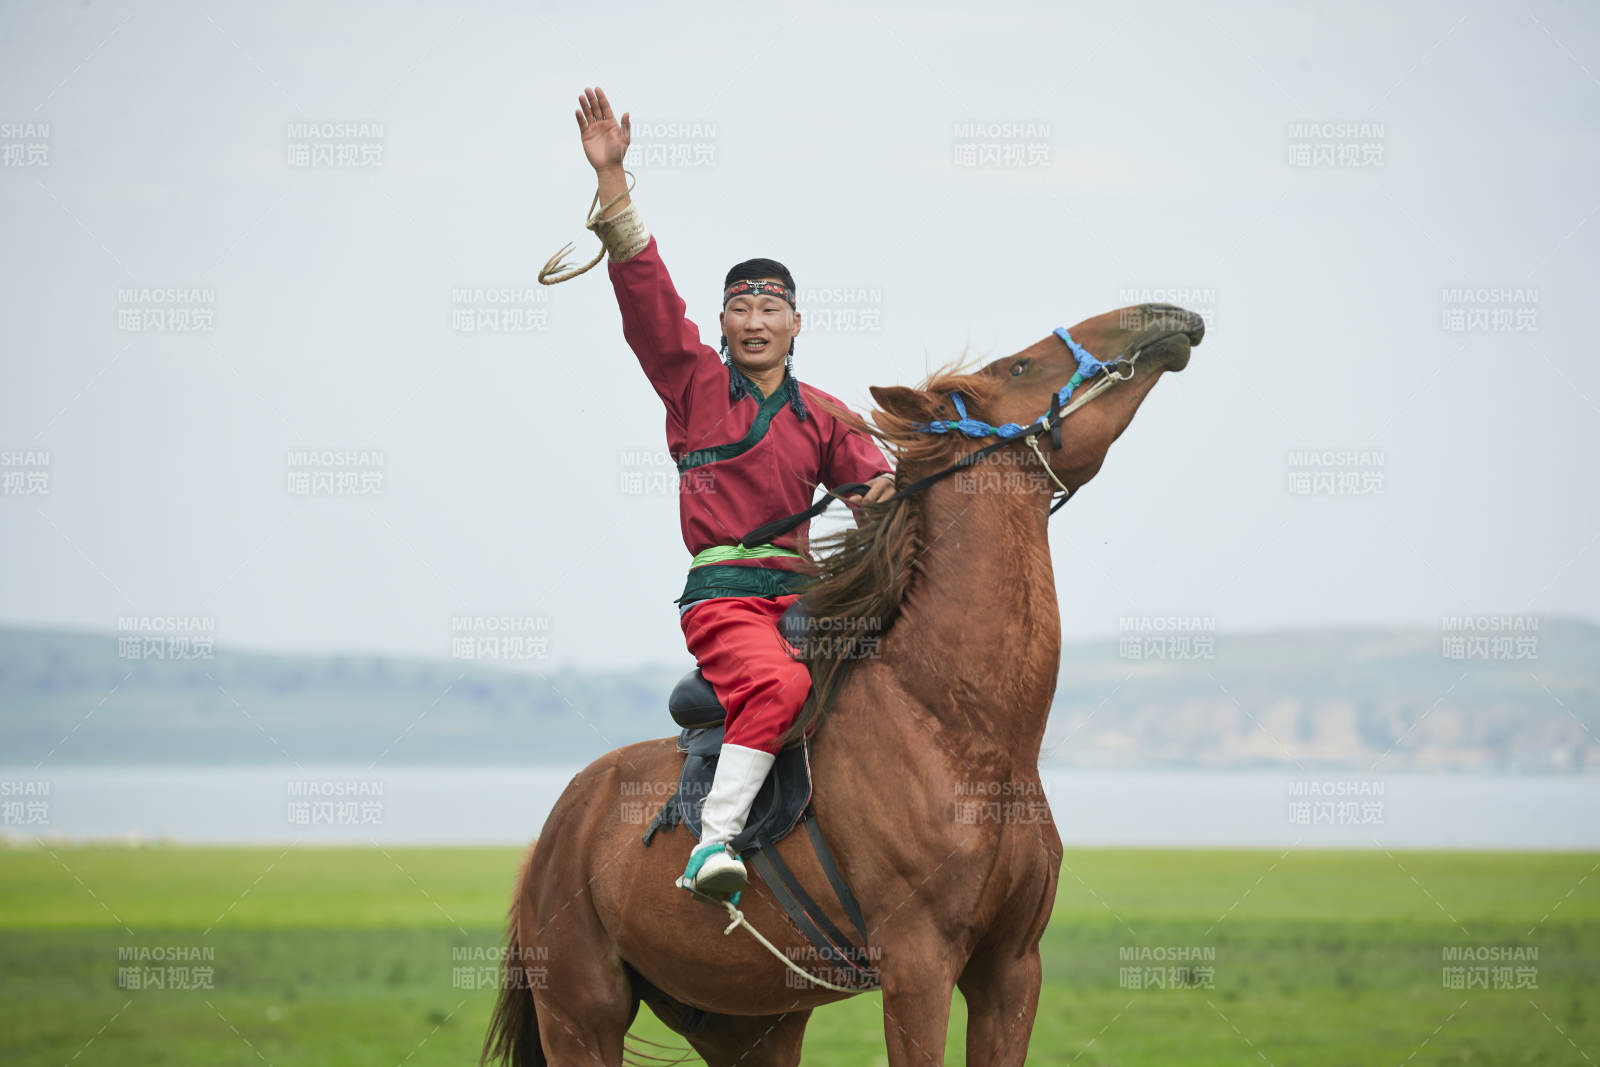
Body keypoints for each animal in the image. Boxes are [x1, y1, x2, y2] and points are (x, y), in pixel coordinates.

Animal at [484, 303, 1205, 1066]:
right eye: (1020, 366)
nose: (1162, 317)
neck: (959, 730)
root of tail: (556, 829)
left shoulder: (1011, 969)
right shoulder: (918, 966)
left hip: (749, 1025)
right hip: (580, 1016)